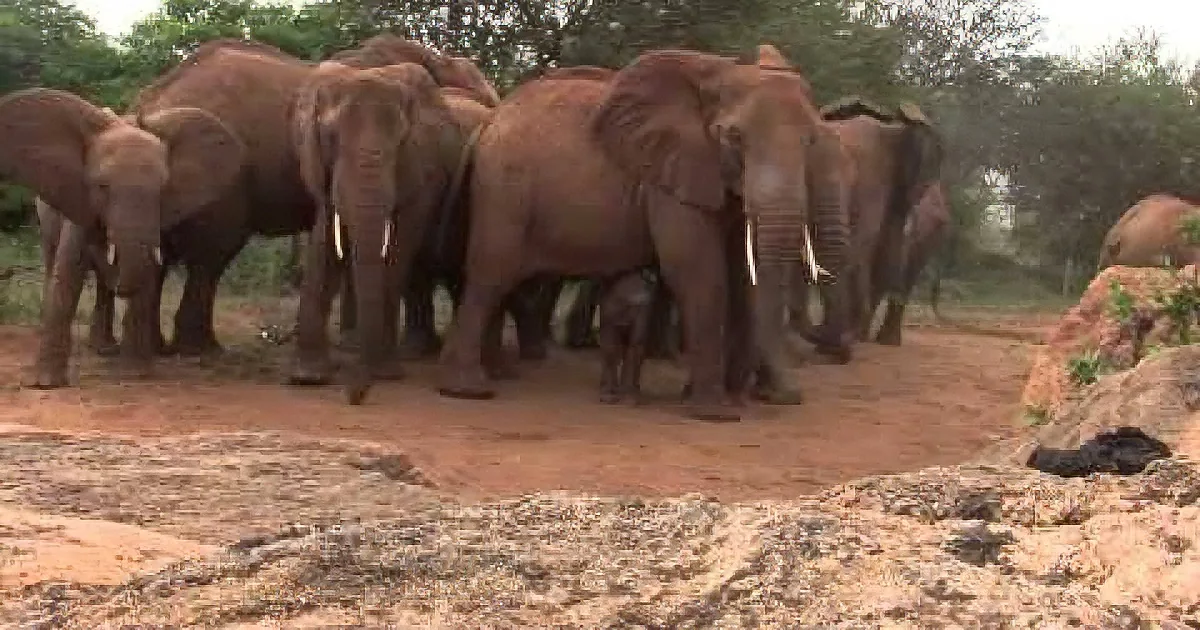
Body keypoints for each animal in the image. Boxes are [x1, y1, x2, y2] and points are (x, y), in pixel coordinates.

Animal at [0, 87, 247, 387]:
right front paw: (48, 384)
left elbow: (148, 272)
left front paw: (135, 375)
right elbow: (68, 273)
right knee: (52, 260)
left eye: (163, 189)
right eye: (101, 186)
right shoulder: (79, 200)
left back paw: (105, 349)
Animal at [286, 60, 483, 404]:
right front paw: (306, 378)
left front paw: (384, 374)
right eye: (330, 137)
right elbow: (325, 244)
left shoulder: (423, 170)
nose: (353, 397)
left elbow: (399, 248)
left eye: (401, 142)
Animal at [436, 47, 847, 422]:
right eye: (733, 137)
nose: (755, 400)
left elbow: (741, 275)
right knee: (491, 276)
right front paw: (714, 413)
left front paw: (714, 401)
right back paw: (469, 390)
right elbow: (697, 270)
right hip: (504, 191)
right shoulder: (670, 180)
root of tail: (487, 123)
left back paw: (493, 375)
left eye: (812, 142)